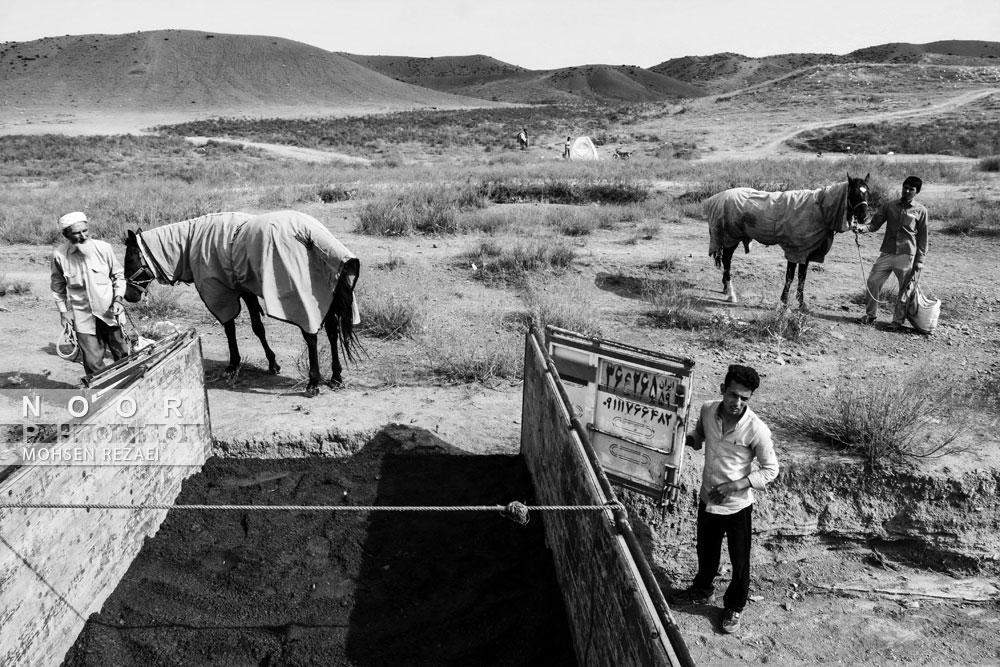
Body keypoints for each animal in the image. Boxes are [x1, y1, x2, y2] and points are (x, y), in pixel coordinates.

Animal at [122, 210, 360, 396]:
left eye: (130, 258)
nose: (128, 296)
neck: (192, 241)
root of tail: (312, 235)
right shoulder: (246, 289)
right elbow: (258, 327)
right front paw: (272, 363)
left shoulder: (221, 292)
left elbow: (230, 328)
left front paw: (233, 364)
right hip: (325, 295)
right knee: (332, 332)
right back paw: (336, 376)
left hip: (302, 297)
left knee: (311, 336)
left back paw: (313, 382)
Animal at [704, 172, 868, 308]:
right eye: (854, 193)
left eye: (867, 192)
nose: (864, 217)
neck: (820, 208)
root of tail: (718, 198)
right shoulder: (794, 250)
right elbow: (790, 276)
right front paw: (784, 301)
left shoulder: (805, 252)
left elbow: (802, 277)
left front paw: (801, 303)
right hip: (730, 238)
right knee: (727, 261)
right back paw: (731, 294)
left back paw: (726, 289)